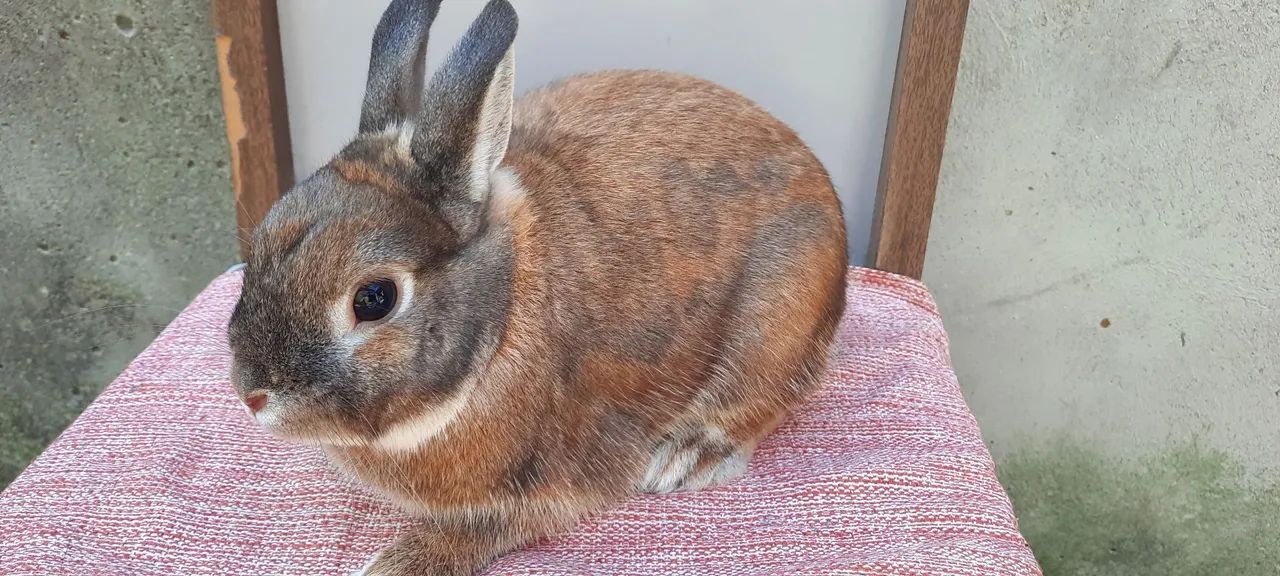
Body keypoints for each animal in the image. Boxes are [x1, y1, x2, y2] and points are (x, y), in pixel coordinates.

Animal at [226, 0, 848, 574]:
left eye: (374, 298)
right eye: (262, 239)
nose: (252, 394)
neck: (501, 319)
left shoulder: (554, 479)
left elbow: (482, 530)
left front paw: (394, 564)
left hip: (778, 322)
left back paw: (687, 456)